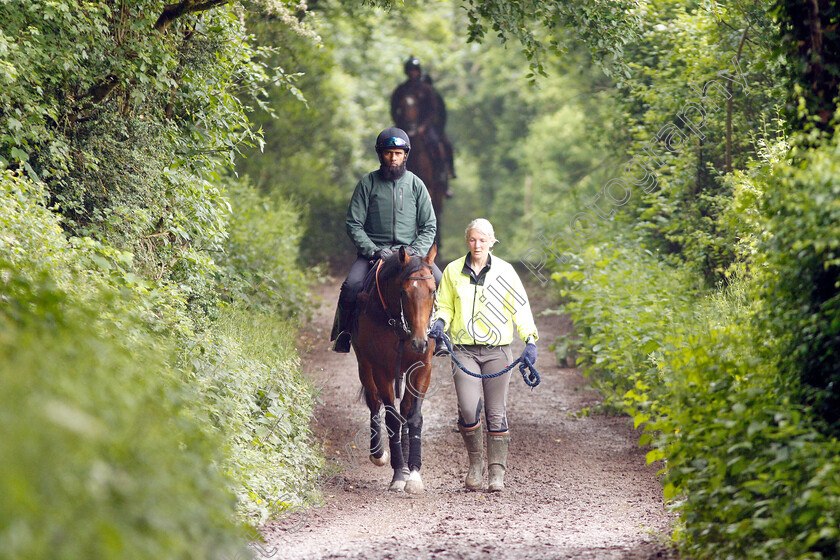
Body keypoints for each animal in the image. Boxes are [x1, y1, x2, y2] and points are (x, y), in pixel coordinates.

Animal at [352, 245, 436, 494]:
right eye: (404, 292)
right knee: (373, 402)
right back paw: (378, 454)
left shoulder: (423, 369)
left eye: (432, 291)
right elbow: (391, 418)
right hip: (364, 365)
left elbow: (413, 417)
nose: (420, 342)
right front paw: (399, 473)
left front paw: (414, 473)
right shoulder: (382, 370)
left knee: (405, 409)